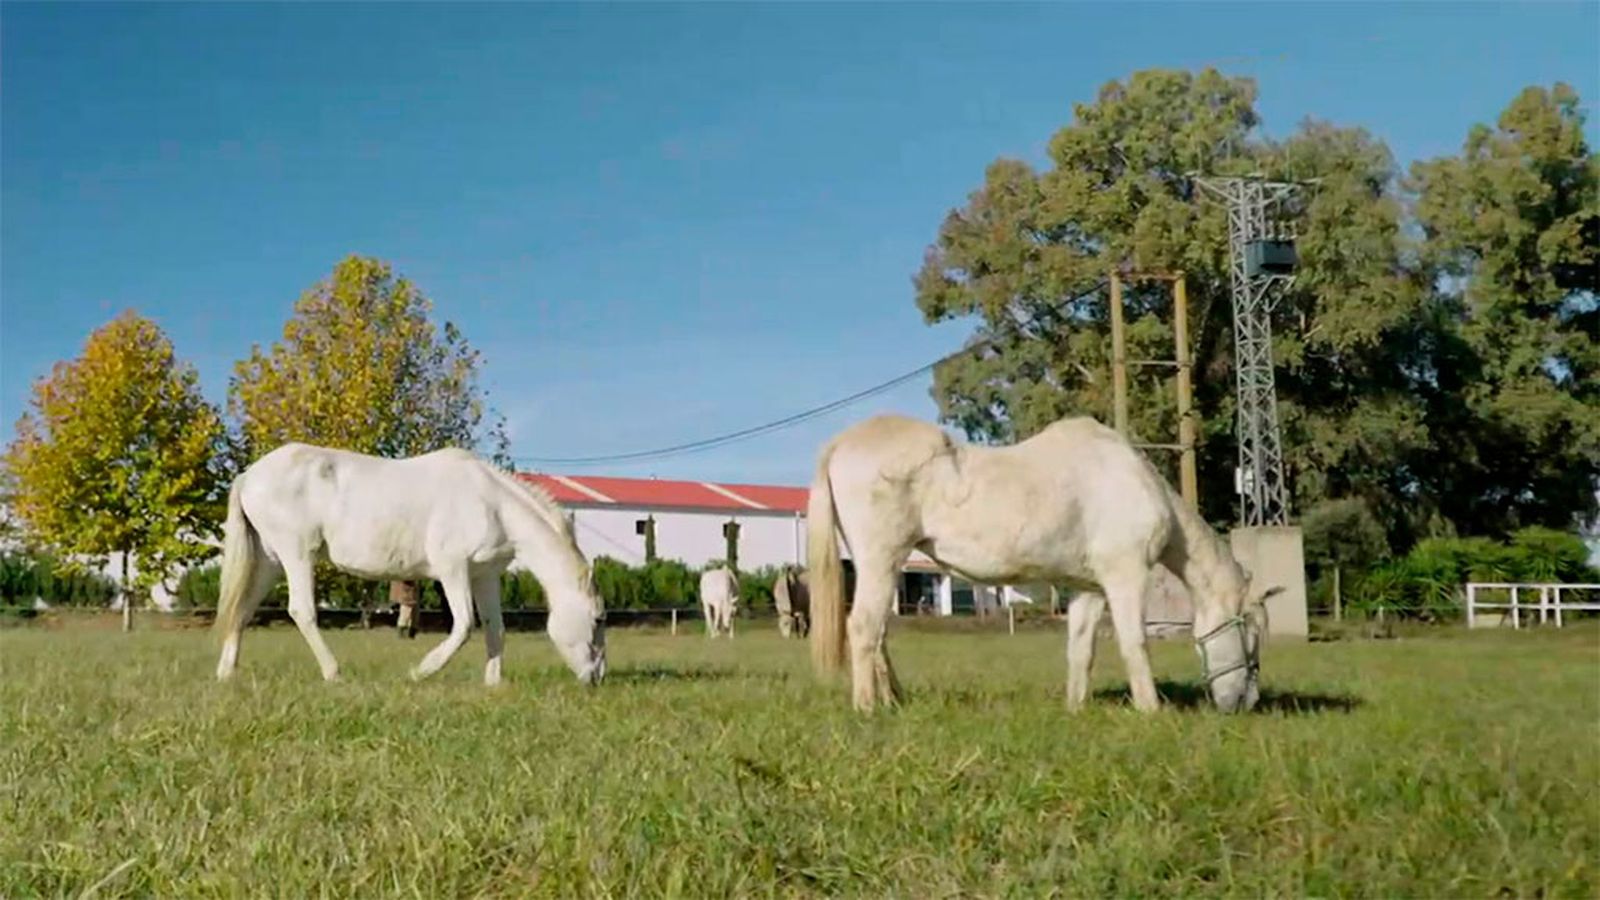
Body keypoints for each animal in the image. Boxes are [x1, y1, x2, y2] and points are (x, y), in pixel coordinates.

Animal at [212, 443, 607, 687]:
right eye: (598, 620)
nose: (598, 677)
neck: (491, 502)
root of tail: (248, 475)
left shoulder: (485, 576)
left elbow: (496, 628)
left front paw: (494, 682)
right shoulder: (452, 570)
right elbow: (464, 626)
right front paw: (421, 672)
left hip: (270, 561)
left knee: (243, 610)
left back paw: (226, 672)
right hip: (297, 555)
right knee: (302, 611)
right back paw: (334, 672)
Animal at [806, 413, 1272, 714]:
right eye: (1251, 633)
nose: (1246, 703)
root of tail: (842, 442)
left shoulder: (1089, 589)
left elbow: (1080, 650)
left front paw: (1075, 709)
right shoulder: (1125, 577)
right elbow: (1134, 644)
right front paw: (1150, 709)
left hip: (882, 567)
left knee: (879, 635)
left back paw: (893, 700)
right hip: (882, 560)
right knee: (863, 628)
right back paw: (868, 709)